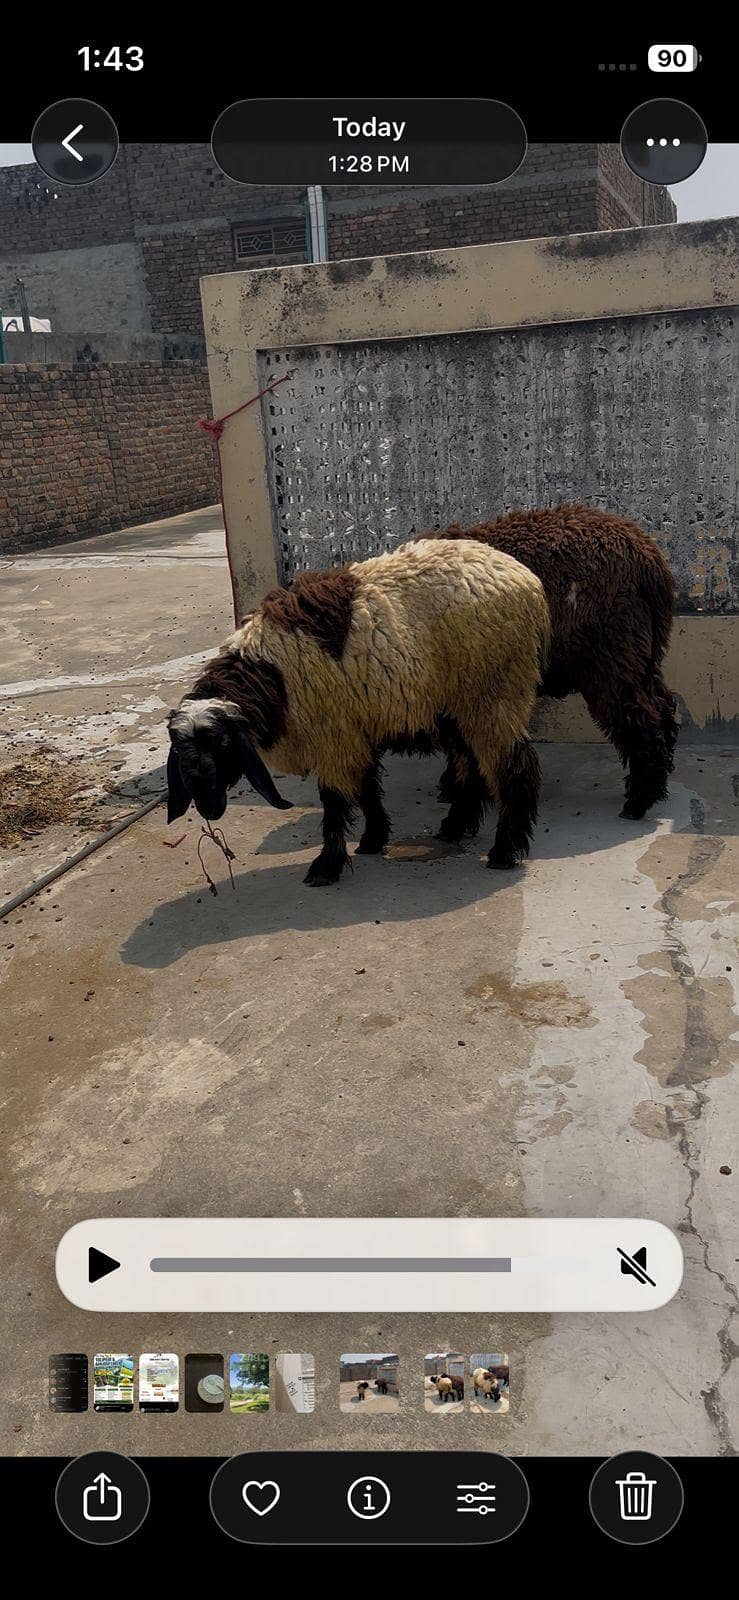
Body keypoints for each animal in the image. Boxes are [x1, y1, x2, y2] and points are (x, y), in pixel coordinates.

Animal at [167, 538, 550, 885]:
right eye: (182, 753)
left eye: (223, 744)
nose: (207, 807)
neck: (269, 676)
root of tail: (526, 580)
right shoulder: (355, 727)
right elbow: (366, 788)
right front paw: (373, 839)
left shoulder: (333, 734)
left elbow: (334, 803)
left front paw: (327, 866)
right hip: (460, 704)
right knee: (472, 764)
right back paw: (455, 827)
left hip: (494, 691)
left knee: (513, 768)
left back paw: (505, 851)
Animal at [430, 505, 679, 823]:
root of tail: (650, 559)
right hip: (642, 648)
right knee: (661, 703)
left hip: (611, 648)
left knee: (638, 715)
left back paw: (638, 800)